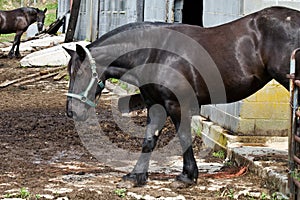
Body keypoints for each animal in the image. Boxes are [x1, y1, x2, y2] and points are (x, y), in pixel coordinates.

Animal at [63, 6, 300, 187]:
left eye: (80, 72)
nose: (71, 111)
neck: (154, 52)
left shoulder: (175, 104)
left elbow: (184, 137)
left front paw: (188, 176)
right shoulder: (155, 105)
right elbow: (149, 140)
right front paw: (136, 176)